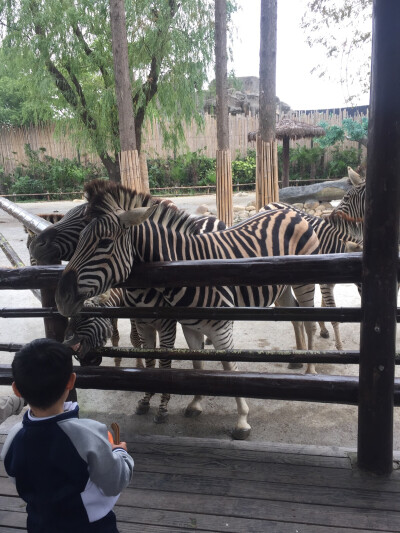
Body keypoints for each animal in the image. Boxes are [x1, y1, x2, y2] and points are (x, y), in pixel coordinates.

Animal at [54, 181, 320, 438]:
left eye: (105, 243)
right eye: (80, 240)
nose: (60, 298)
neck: (187, 268)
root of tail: (288, 210)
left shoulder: (220, 329)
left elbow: (229, 370)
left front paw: (242, 421)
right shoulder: (188, 327)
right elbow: (195, 365)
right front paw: (195, 404)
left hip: (305, 283)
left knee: (309, 322)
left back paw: (310, 369)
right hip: (282, 288)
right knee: (294, 317)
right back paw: (297, 360)